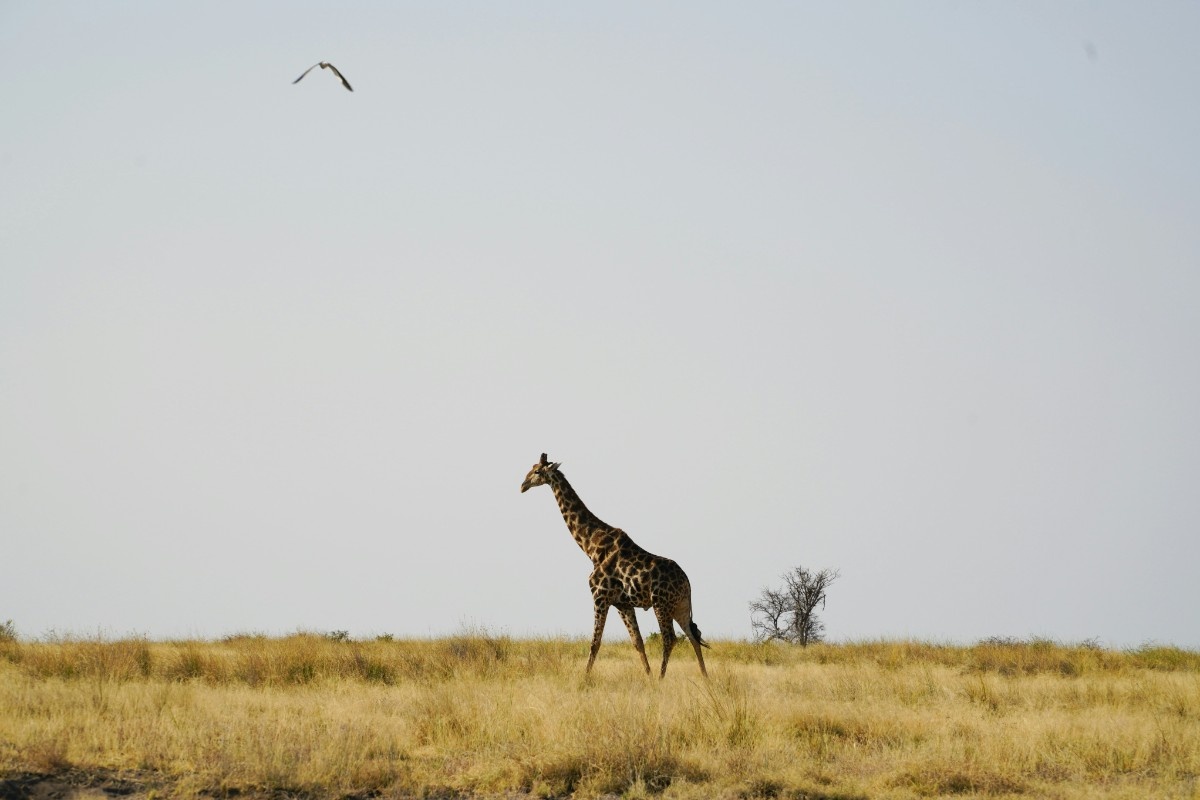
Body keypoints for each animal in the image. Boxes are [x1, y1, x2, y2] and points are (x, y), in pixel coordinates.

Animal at [520, 453, 705, 681]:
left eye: (537, 471)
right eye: (531, 467)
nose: (522, 485)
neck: (590, 546)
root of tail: (687, 582)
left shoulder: (600, 597)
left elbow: (595, 642)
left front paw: (585, 678)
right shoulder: (622, 604)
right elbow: (638, 643)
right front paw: (648, 677)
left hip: (661, 603)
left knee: (670, 638)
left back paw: (663, 679)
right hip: (680, 605)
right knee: (693, 636)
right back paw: (705, 679)